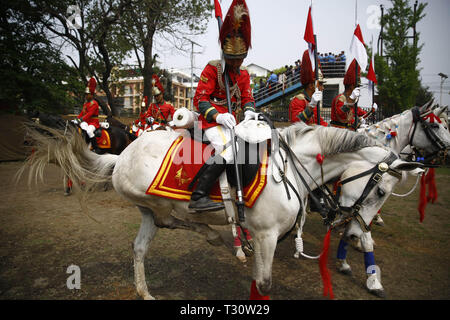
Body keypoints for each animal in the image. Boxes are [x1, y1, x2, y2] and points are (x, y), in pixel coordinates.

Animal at [21, 120, 422, 300]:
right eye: (380, 190)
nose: (353, 232)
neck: (292, 167)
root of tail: (122, 156)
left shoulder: (269, 238)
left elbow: (261, 279)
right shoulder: (267, 236)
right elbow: (265, 282)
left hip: (147, 211)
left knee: (141, 247)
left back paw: (148, 289)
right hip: (155, 201)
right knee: (174, 220)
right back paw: (216, 232)